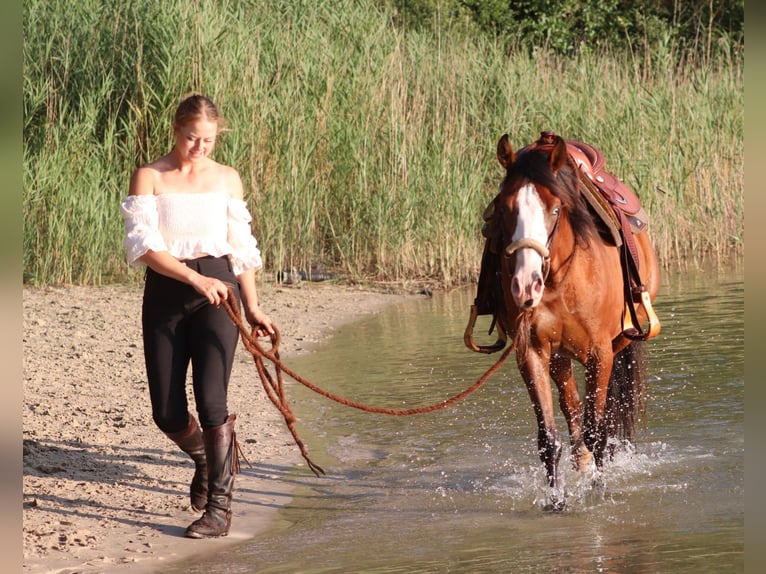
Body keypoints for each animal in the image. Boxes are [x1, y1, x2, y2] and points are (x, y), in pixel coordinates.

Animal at [471, 131, 661, 509]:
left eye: (555, 209)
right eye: (504, 208)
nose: (525, 284)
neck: (560, 279)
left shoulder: (600, 352)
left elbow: (597, 428)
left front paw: (598, 490)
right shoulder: (531, 351)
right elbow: (548, 436)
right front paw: (555, 500)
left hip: (617, 344)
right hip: (559, 356)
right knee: (571, 404)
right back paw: (582, 463)